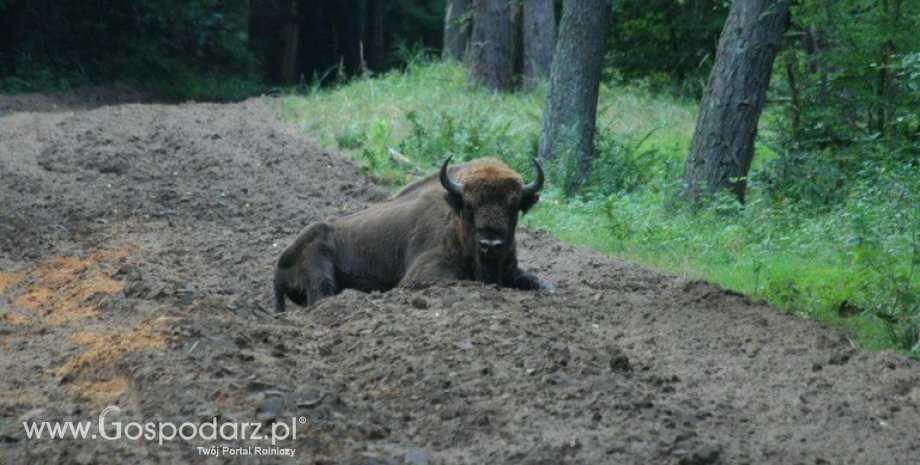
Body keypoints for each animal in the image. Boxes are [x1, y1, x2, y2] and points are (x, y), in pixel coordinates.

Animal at [274, 154, 552, 310]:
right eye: (469, 206)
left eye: (514, 206)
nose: (490, 244)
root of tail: (279, 263)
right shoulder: (423, 273)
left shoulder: (512, 270)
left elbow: (541, 283)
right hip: (318, 261)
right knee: (321, 297)